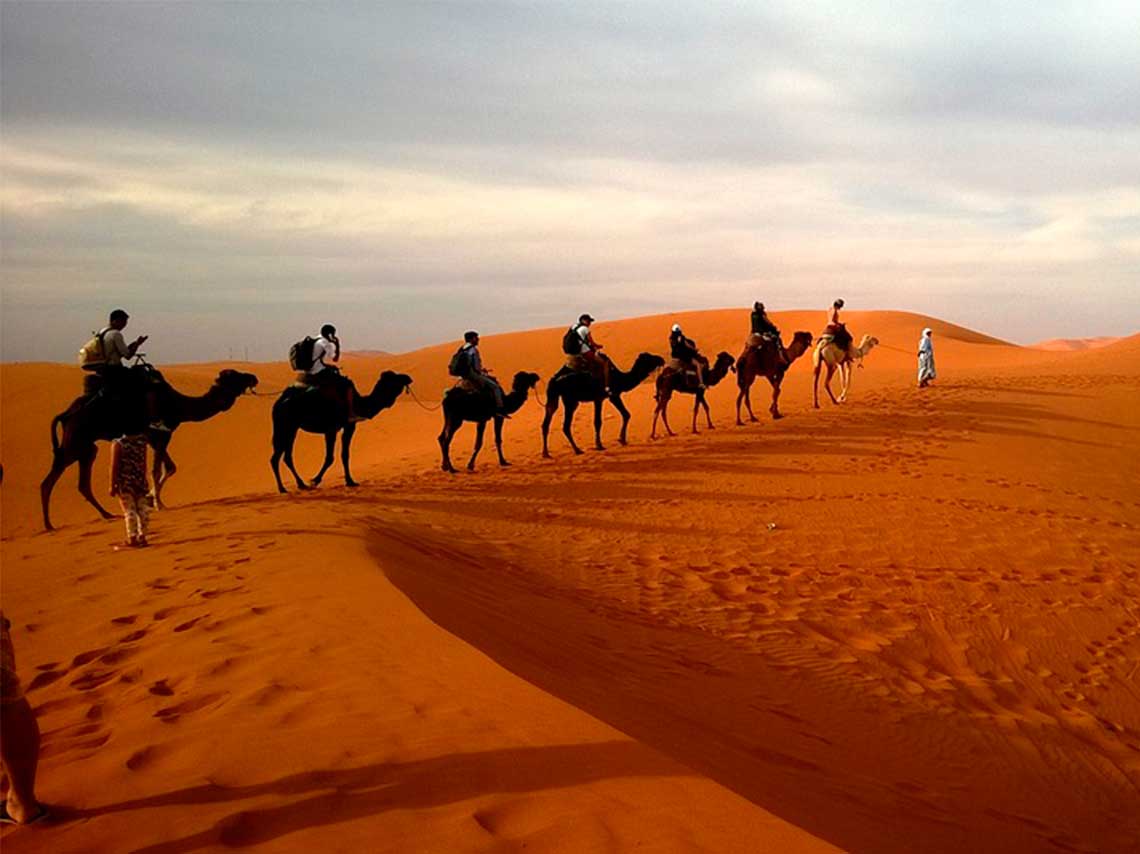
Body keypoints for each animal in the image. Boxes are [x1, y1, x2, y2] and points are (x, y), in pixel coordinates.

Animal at [40, 369, 261, 529]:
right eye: (235, 375)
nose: (254, 377)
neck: (178, 405)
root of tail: (65, 414)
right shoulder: (159, 435)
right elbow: (156, 470)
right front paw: (158, 504)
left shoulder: (158, 438)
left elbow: (170, 467)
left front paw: (150, 499)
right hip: (75, 440)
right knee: (48, 481)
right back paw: (49, 524)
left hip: (86, 447)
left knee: (83, 482)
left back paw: (106, 514)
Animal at [269, 367, 412, 492]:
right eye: (395, 378)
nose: (408, 377)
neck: (357, 403)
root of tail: (278, 403)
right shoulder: (332, 428)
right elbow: (330, 457)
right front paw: (315, 480)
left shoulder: (349, 426)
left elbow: (345, 454)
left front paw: (350, 481)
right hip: (285, 426)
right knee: (277, 457)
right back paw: (283, 488)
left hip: (291, 428)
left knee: (286, 456)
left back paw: (300, 484)